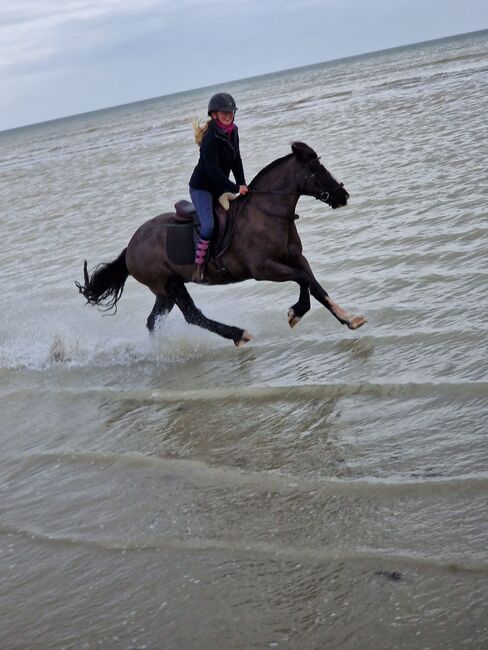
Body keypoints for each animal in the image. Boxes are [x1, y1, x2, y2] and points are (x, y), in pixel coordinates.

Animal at [76, 140, 366, 346]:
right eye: (317, 169)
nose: (343, 195)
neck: (267, 212)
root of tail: (131, 247)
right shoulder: (264, 269)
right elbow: (303, 280)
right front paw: (296, 313)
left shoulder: (296, 258)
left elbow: (316, 286)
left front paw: (349, 318)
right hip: (169, 285)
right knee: (192, 316)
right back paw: (239, 334)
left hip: (166, 290)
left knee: (154, 321)